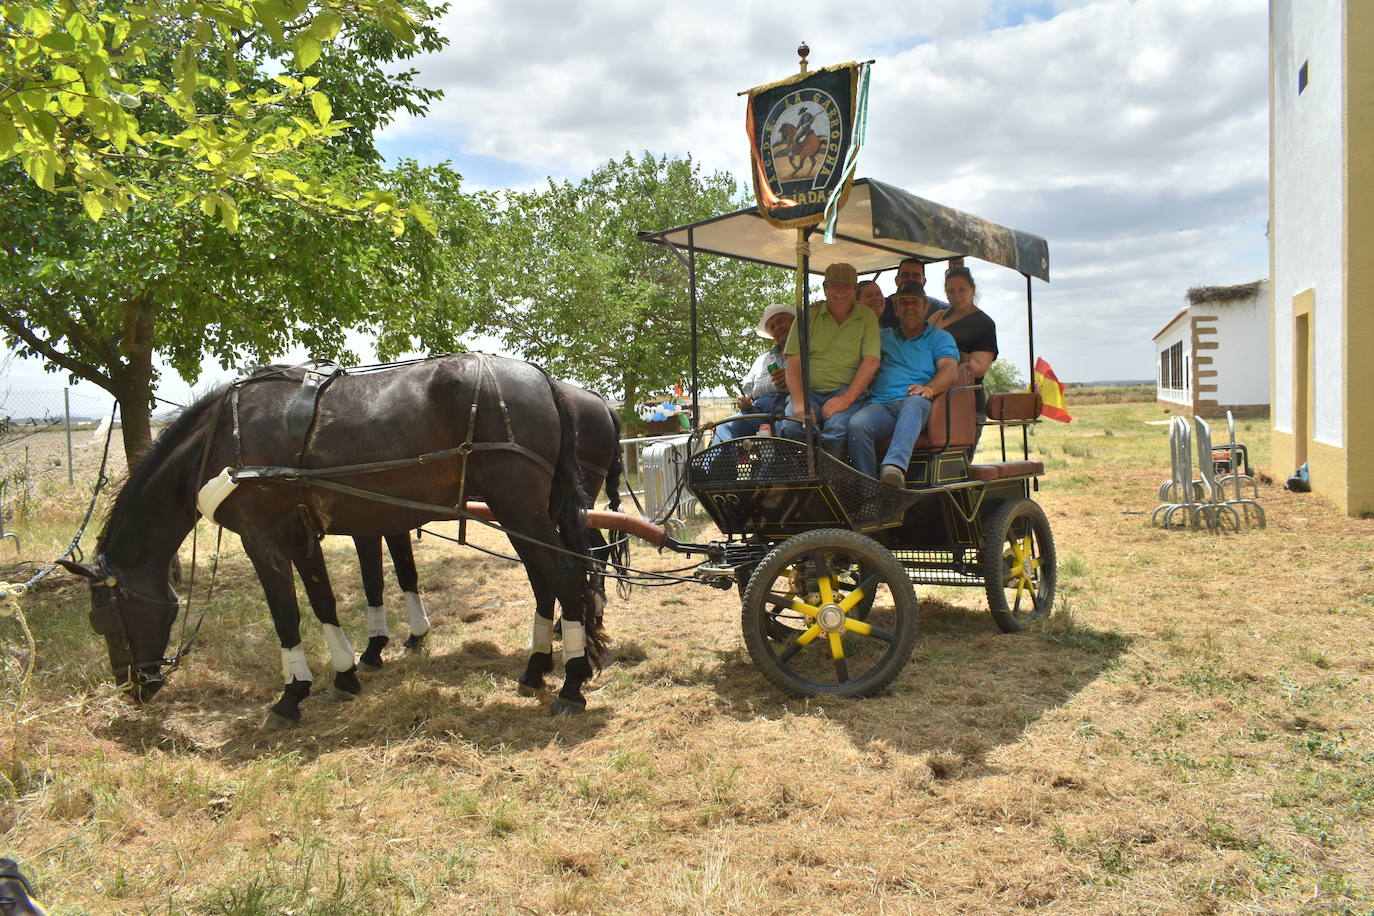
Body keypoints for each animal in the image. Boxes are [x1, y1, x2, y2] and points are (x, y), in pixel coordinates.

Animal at [351, 380, 625, 669]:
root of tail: (601, 403)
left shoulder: (366, 525)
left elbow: (373, 581)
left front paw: (374, 648)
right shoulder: (394, 522)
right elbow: (406, 573)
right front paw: (416, 635)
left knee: (593, 552)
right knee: (595, 551)